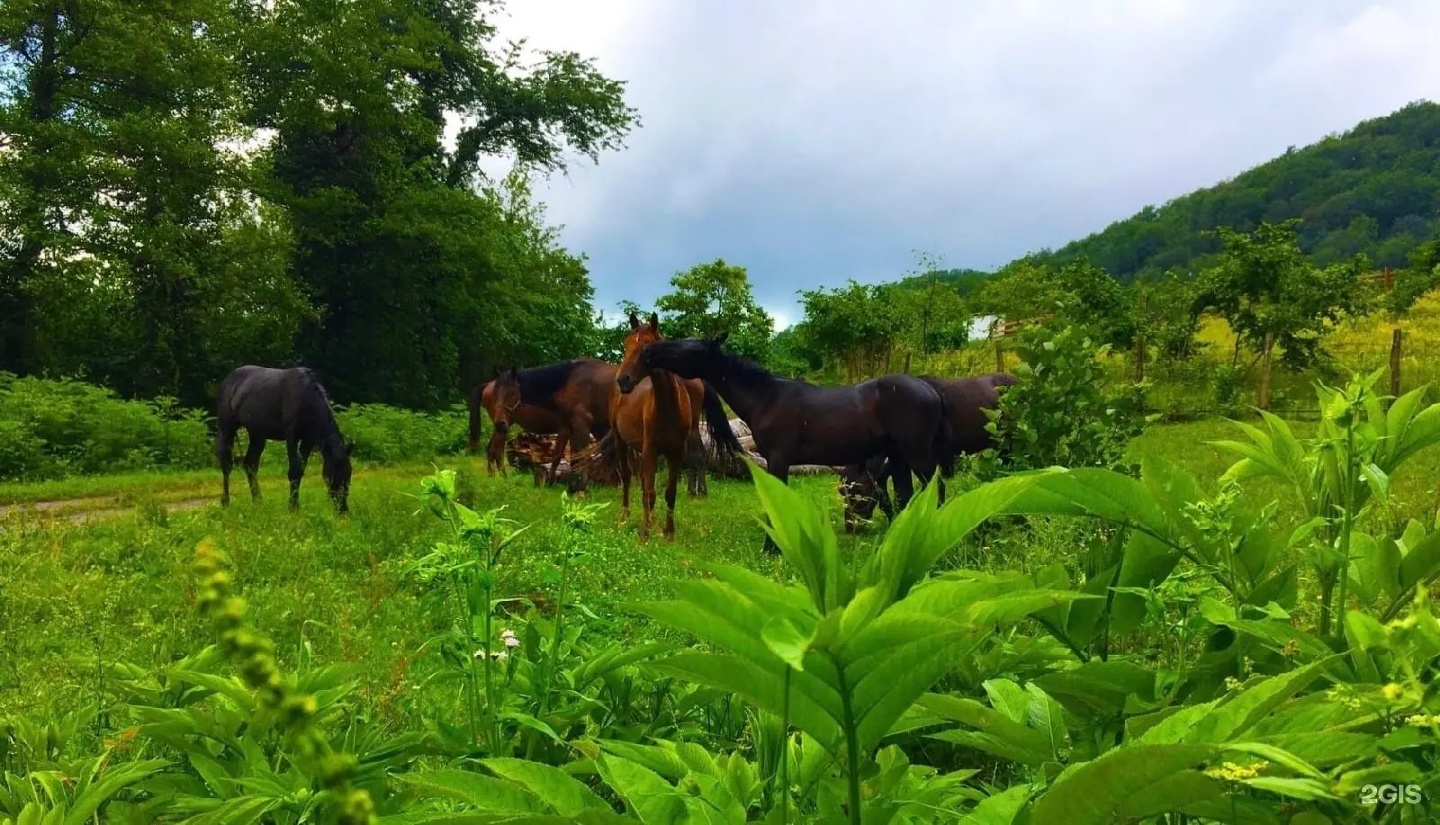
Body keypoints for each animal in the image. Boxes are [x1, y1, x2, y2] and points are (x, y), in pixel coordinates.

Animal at [216, 365, 357, 512]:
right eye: (333, 475)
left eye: (349, 475)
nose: (342, 508)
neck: (306, 397)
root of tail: (228, 379)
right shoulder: (291, 437)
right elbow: (294, 471)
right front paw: (293, 506)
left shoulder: (308, 440)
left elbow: (300, 470)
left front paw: (294, 503)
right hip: (227, 428)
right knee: (226, 465)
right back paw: (225, 501)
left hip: (257, 435)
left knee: (250, 464)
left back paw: (258, 501)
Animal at [607, 310, 743, 541]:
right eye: (626, 344)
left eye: (647, 348)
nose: (623, 380)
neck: (666, 408)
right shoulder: (650, 450)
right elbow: (649, 493)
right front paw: (644, 536)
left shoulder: (676, 453)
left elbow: (669, 492)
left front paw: (668, 533)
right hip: (620, 441)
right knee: (626, 477)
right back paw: (625, 516)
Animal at [639, 331, 956, 550]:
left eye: (687, 347)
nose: (649, 351)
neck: (766, 397)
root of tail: (931, 390)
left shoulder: (778, 459)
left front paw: (772, 548)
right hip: (901, 458)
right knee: (906, 496)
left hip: (918, 455)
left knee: (936, 490)